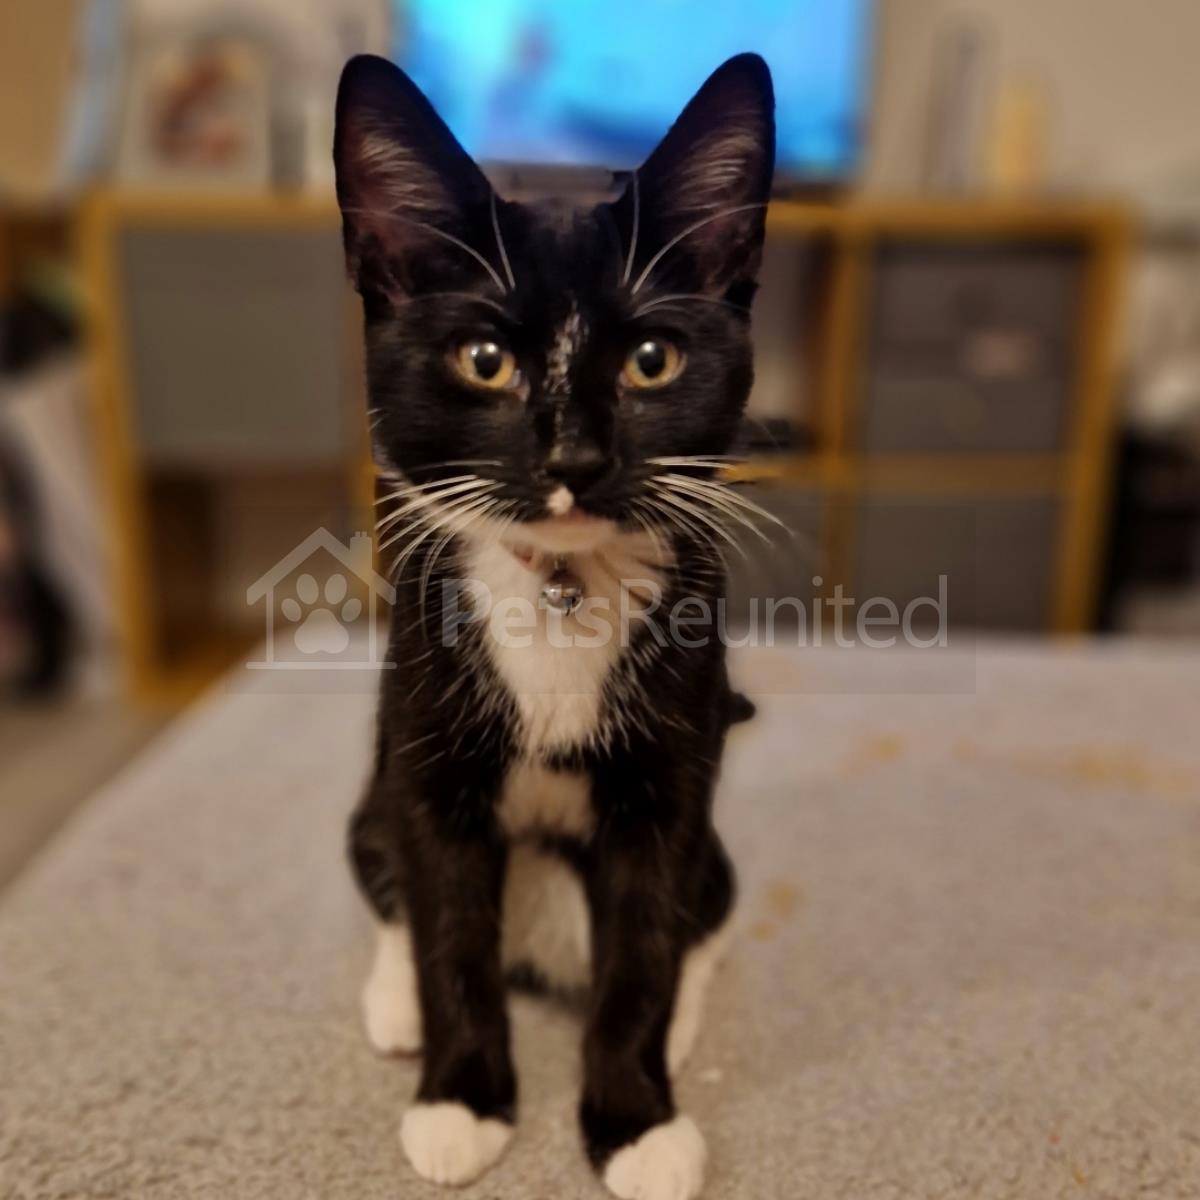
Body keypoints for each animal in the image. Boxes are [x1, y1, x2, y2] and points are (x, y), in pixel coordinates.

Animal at [335, 50, 774, 1200]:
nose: (575, 458)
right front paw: (460, 1101)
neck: (562, 587)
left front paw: (635, 1121)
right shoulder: (424, 757)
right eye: (484, 359)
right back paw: (393, 1006)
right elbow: (446, 932)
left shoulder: (674, 780)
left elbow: (646, 949)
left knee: (708, 910)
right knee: (387, 880)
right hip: (370, 795)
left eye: (653, 359)